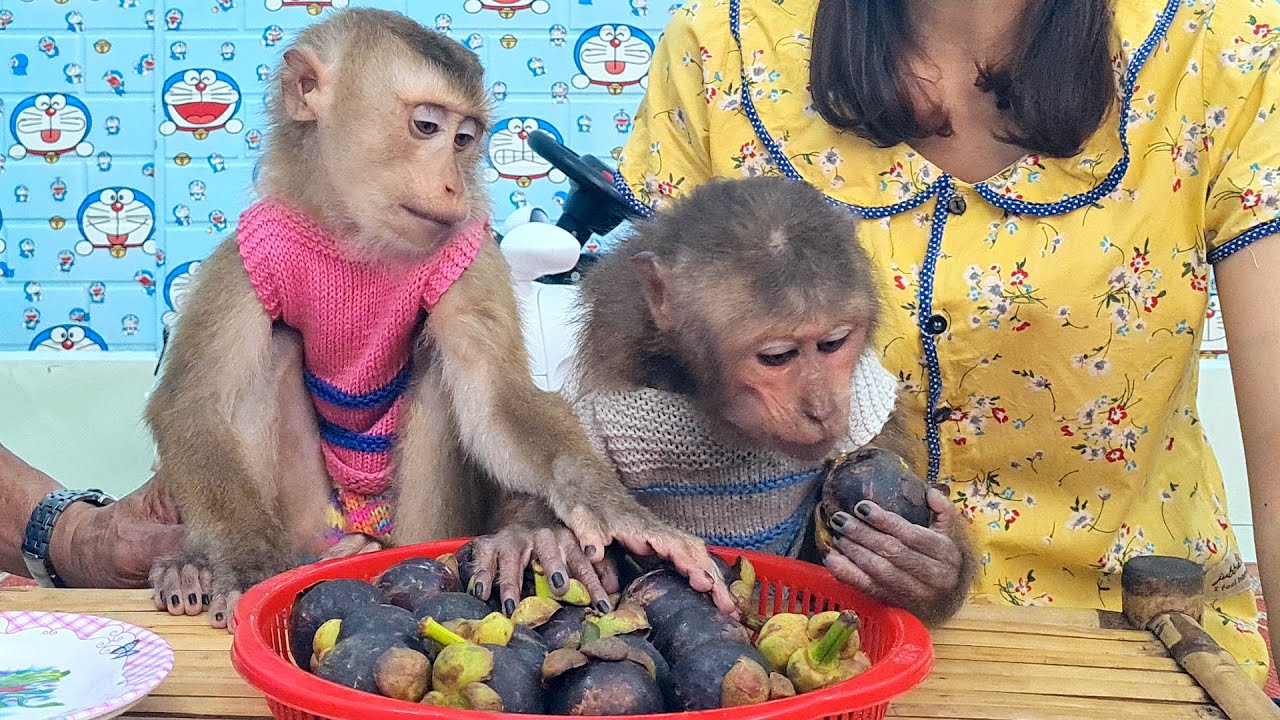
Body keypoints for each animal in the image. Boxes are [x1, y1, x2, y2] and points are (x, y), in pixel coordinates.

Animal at [144, 9, 734, 631]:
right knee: (273, 349)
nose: (454, 184)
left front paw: (612, 508)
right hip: (311, 515)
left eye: (464, 139)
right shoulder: (247, 255)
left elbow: (495, 400)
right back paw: (224, 564)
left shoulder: (468, 255)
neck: (355, 240)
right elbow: (193, 403)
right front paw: (249, 566)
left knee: (441, 374)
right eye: (426, 127)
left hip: (415, 522)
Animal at [468, 176, 975, 627]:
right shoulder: (604, 391)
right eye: (777, 357)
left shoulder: (865, 391)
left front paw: (925, 570)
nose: (823, 408)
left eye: (833, 344)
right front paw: (544, 537)